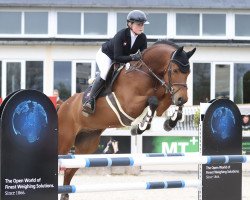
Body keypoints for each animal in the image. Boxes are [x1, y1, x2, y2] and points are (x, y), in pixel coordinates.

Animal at [58, 40, 195, 200]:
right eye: (175, 70)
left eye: (188, 72)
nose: (182, 97)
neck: (147, 73)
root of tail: (63, 106)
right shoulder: (129, 104)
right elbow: (153, 101)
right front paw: (140, 127)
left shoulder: (164, 97)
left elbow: (164, 102)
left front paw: (170, 122)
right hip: (65, 140)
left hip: (86, 145)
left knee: (69, 170)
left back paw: (65, 194)